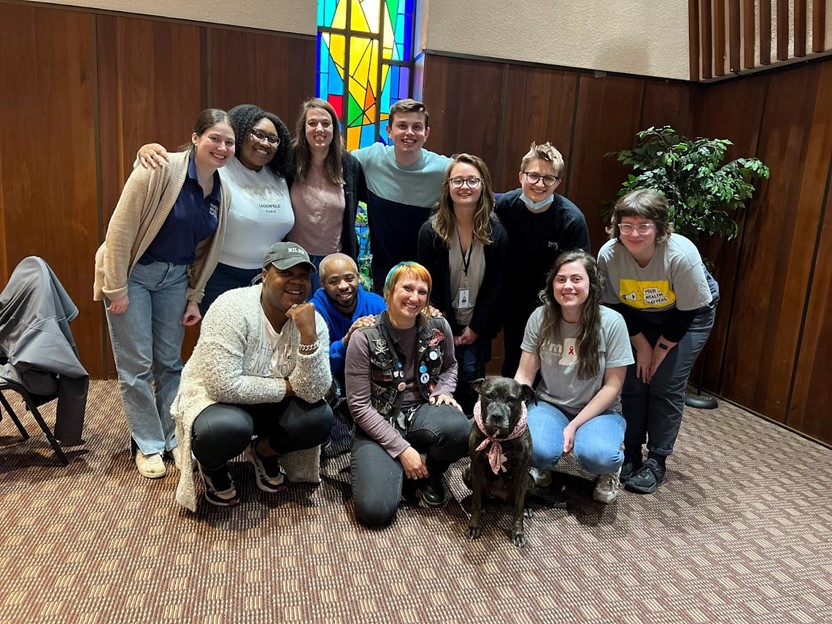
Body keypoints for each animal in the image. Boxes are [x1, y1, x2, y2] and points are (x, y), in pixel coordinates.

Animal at [464, 376, 536, 544]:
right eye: (488, 396)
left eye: (511, 399)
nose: (497, 416)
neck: (499, 438)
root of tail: (499, 497)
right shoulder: (476, 466)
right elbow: (476, 502)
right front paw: (474, 526)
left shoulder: (522, 471)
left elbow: (518, 508)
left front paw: (518, 532)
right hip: (467, 472)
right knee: (479, 496)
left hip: (530, 481)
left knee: (520, 500)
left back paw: (527, 507)